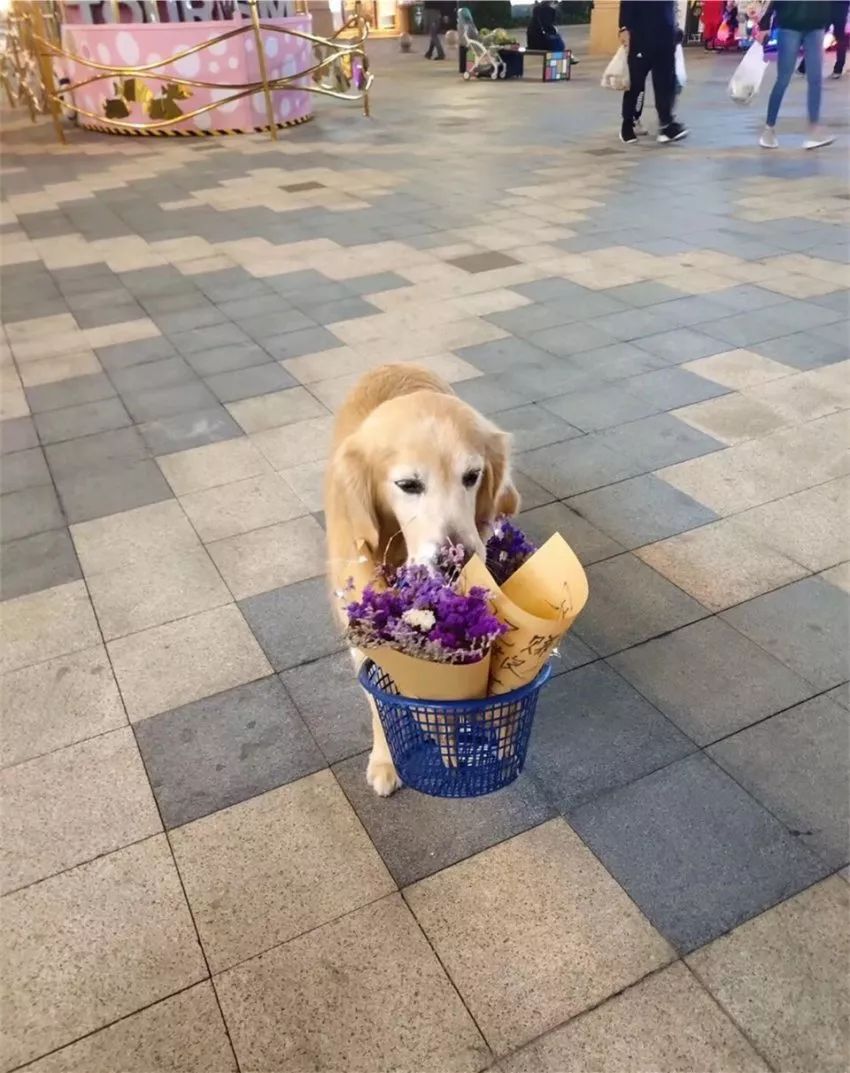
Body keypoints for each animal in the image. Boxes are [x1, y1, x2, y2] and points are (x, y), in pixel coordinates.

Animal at [326, 364, 517, 794]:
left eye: (472, 475)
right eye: (408, 485)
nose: (456, 560)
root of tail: (394, 363)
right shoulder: (363, 627)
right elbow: (379, 698)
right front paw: (386, 761)